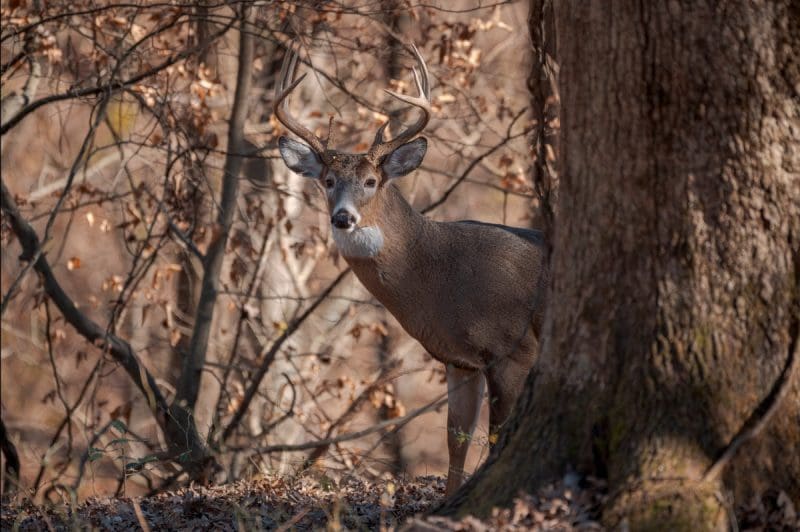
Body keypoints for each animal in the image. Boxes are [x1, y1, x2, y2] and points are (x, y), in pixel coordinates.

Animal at [273, 44, 548, 495]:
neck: (443, 277)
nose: (343, 218)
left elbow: (496, 437)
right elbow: (456, 439)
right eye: (328, 180)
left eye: (370, 181)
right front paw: (448, 500)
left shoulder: (514, 349)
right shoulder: (459, 360)